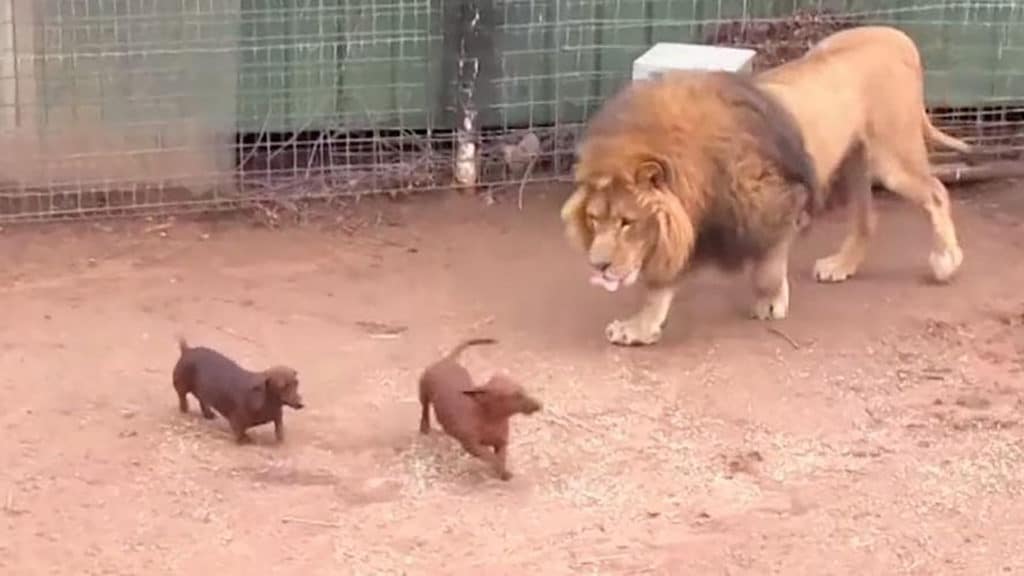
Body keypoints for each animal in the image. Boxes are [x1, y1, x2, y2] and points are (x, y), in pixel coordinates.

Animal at [561, 25, 966, 344]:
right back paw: (842, 264)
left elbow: (768, 266)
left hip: (891, 158)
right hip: (855, 159)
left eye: (627, 222)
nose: (598, 266)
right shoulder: (691, 224)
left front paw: (770, 302)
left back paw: (946, 261)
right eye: (595, 220)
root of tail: (898, 36)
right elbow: (659, 288)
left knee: (936, 192)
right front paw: (641, 327)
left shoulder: (780, 201)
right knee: (868, 218)